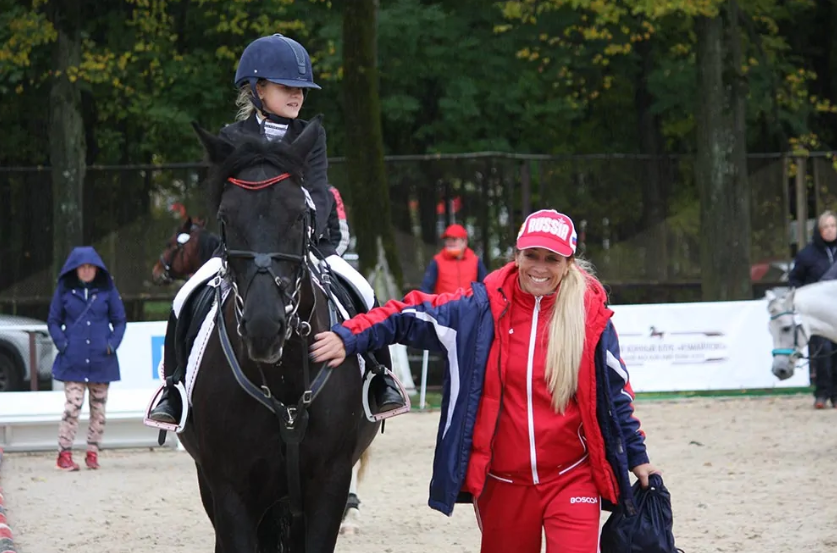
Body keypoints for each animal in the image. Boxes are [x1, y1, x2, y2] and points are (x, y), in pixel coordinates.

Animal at [165, 118, 380, 548]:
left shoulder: (328, 483)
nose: (264, 329)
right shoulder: (229, 490)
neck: (284, 378)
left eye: (300, 216)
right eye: (225, 217)